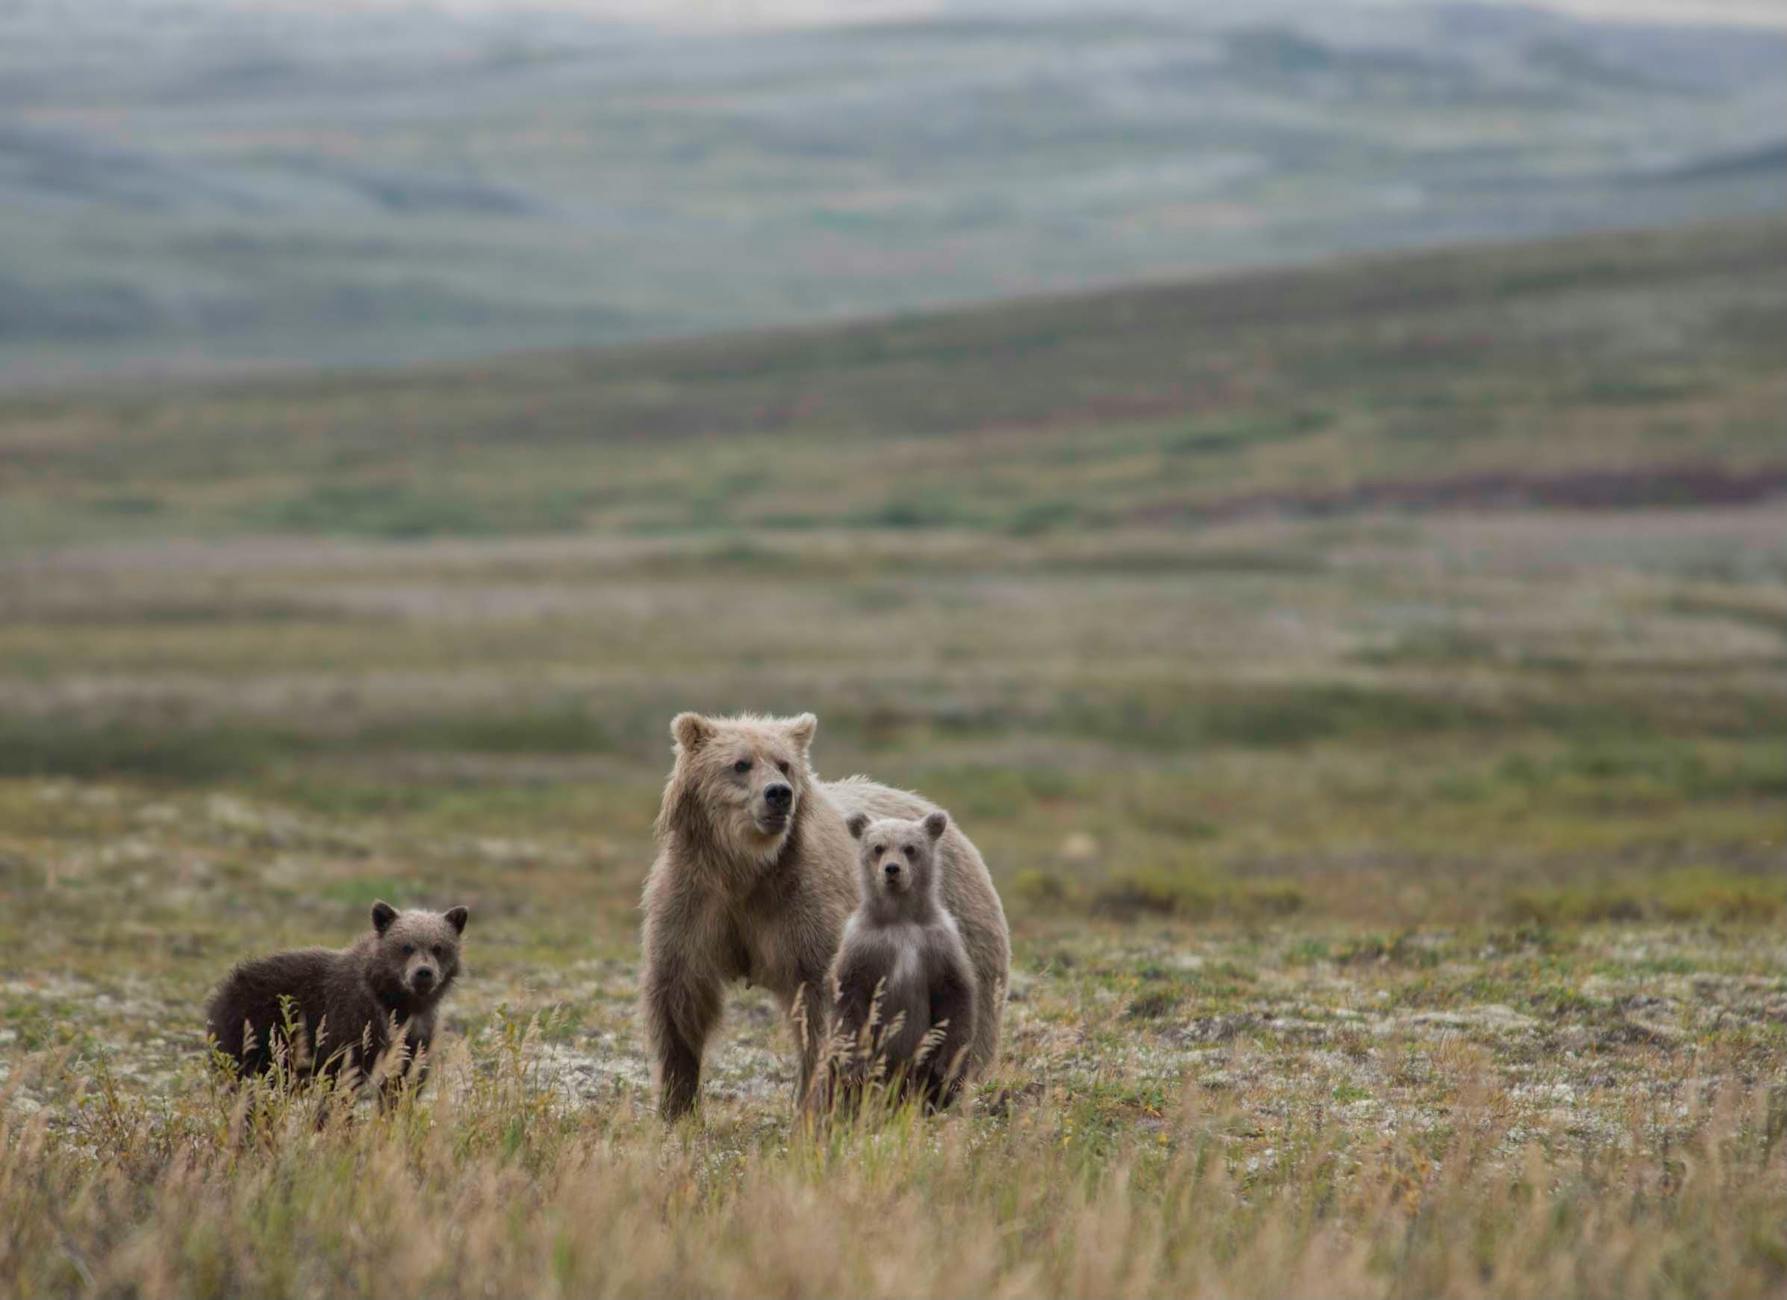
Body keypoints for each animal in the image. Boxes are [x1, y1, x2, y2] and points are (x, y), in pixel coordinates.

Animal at [205, 901, 469, 1092]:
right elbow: (343, 1076)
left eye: (438, 947)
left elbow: (403, 1081)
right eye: (406, 947)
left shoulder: (417, 1035)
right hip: (253, 1030)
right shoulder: (352, 1020)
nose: (423, 973)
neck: (395, 1000)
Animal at [826, 809, 978, 1111]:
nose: (892, 869)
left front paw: (947, 1068)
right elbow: (848, 996)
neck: (900, 918)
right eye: (878, 847)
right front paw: (857, 1066)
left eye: (910, 848)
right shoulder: (863, 946)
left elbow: (956, 996)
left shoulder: (938, 943)